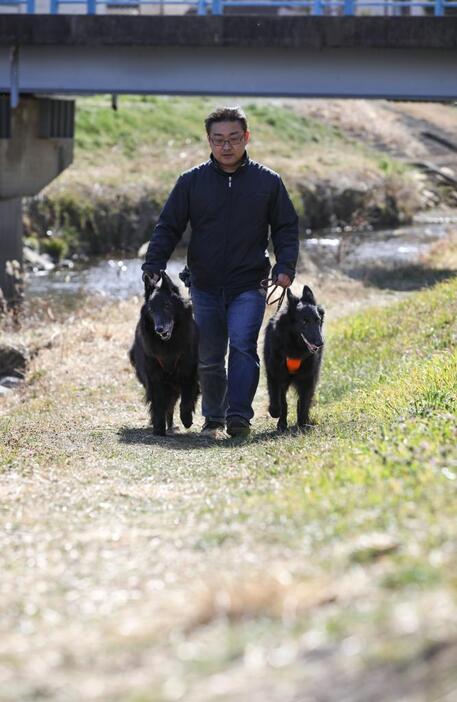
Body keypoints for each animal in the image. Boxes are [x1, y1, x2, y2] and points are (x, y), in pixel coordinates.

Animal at [129, 272, 199, 438]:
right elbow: (159, 403)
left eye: (167, 305)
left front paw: (186, 419)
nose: (159, 329)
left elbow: (186, 400)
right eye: (151, 310)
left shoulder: (188, 373)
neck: (168, 344)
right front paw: (158, 428)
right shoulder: (155, 377)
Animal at [262, 286, 322, 434]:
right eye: (304, 321)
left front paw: (302, 423)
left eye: (318, 320)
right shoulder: (275, 374)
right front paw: (277, 416)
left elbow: (303, 402)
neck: (295, 346)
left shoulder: (308, 378)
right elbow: (280, 400)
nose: (320, 343)